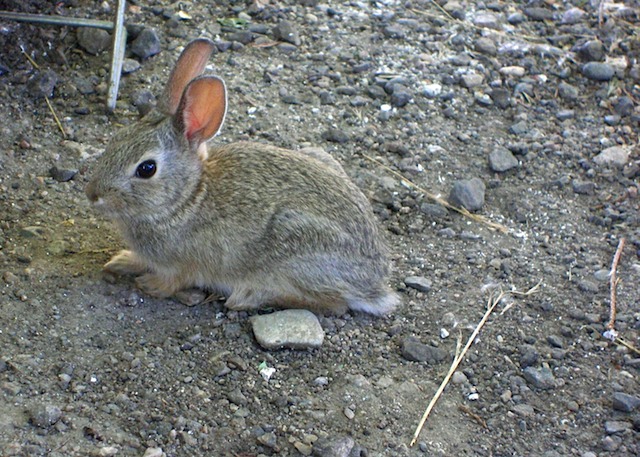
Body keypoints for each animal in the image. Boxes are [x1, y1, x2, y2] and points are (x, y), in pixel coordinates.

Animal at [83, 38, 398, 314]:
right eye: (115, 139)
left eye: (146, 169)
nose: (93, 194)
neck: (188, 198)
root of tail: (374, 282)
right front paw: (121, 261)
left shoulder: (188, 262)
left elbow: (175, 280)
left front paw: (150, 285)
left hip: (295, 249)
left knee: (334, 304)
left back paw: (247, 297)